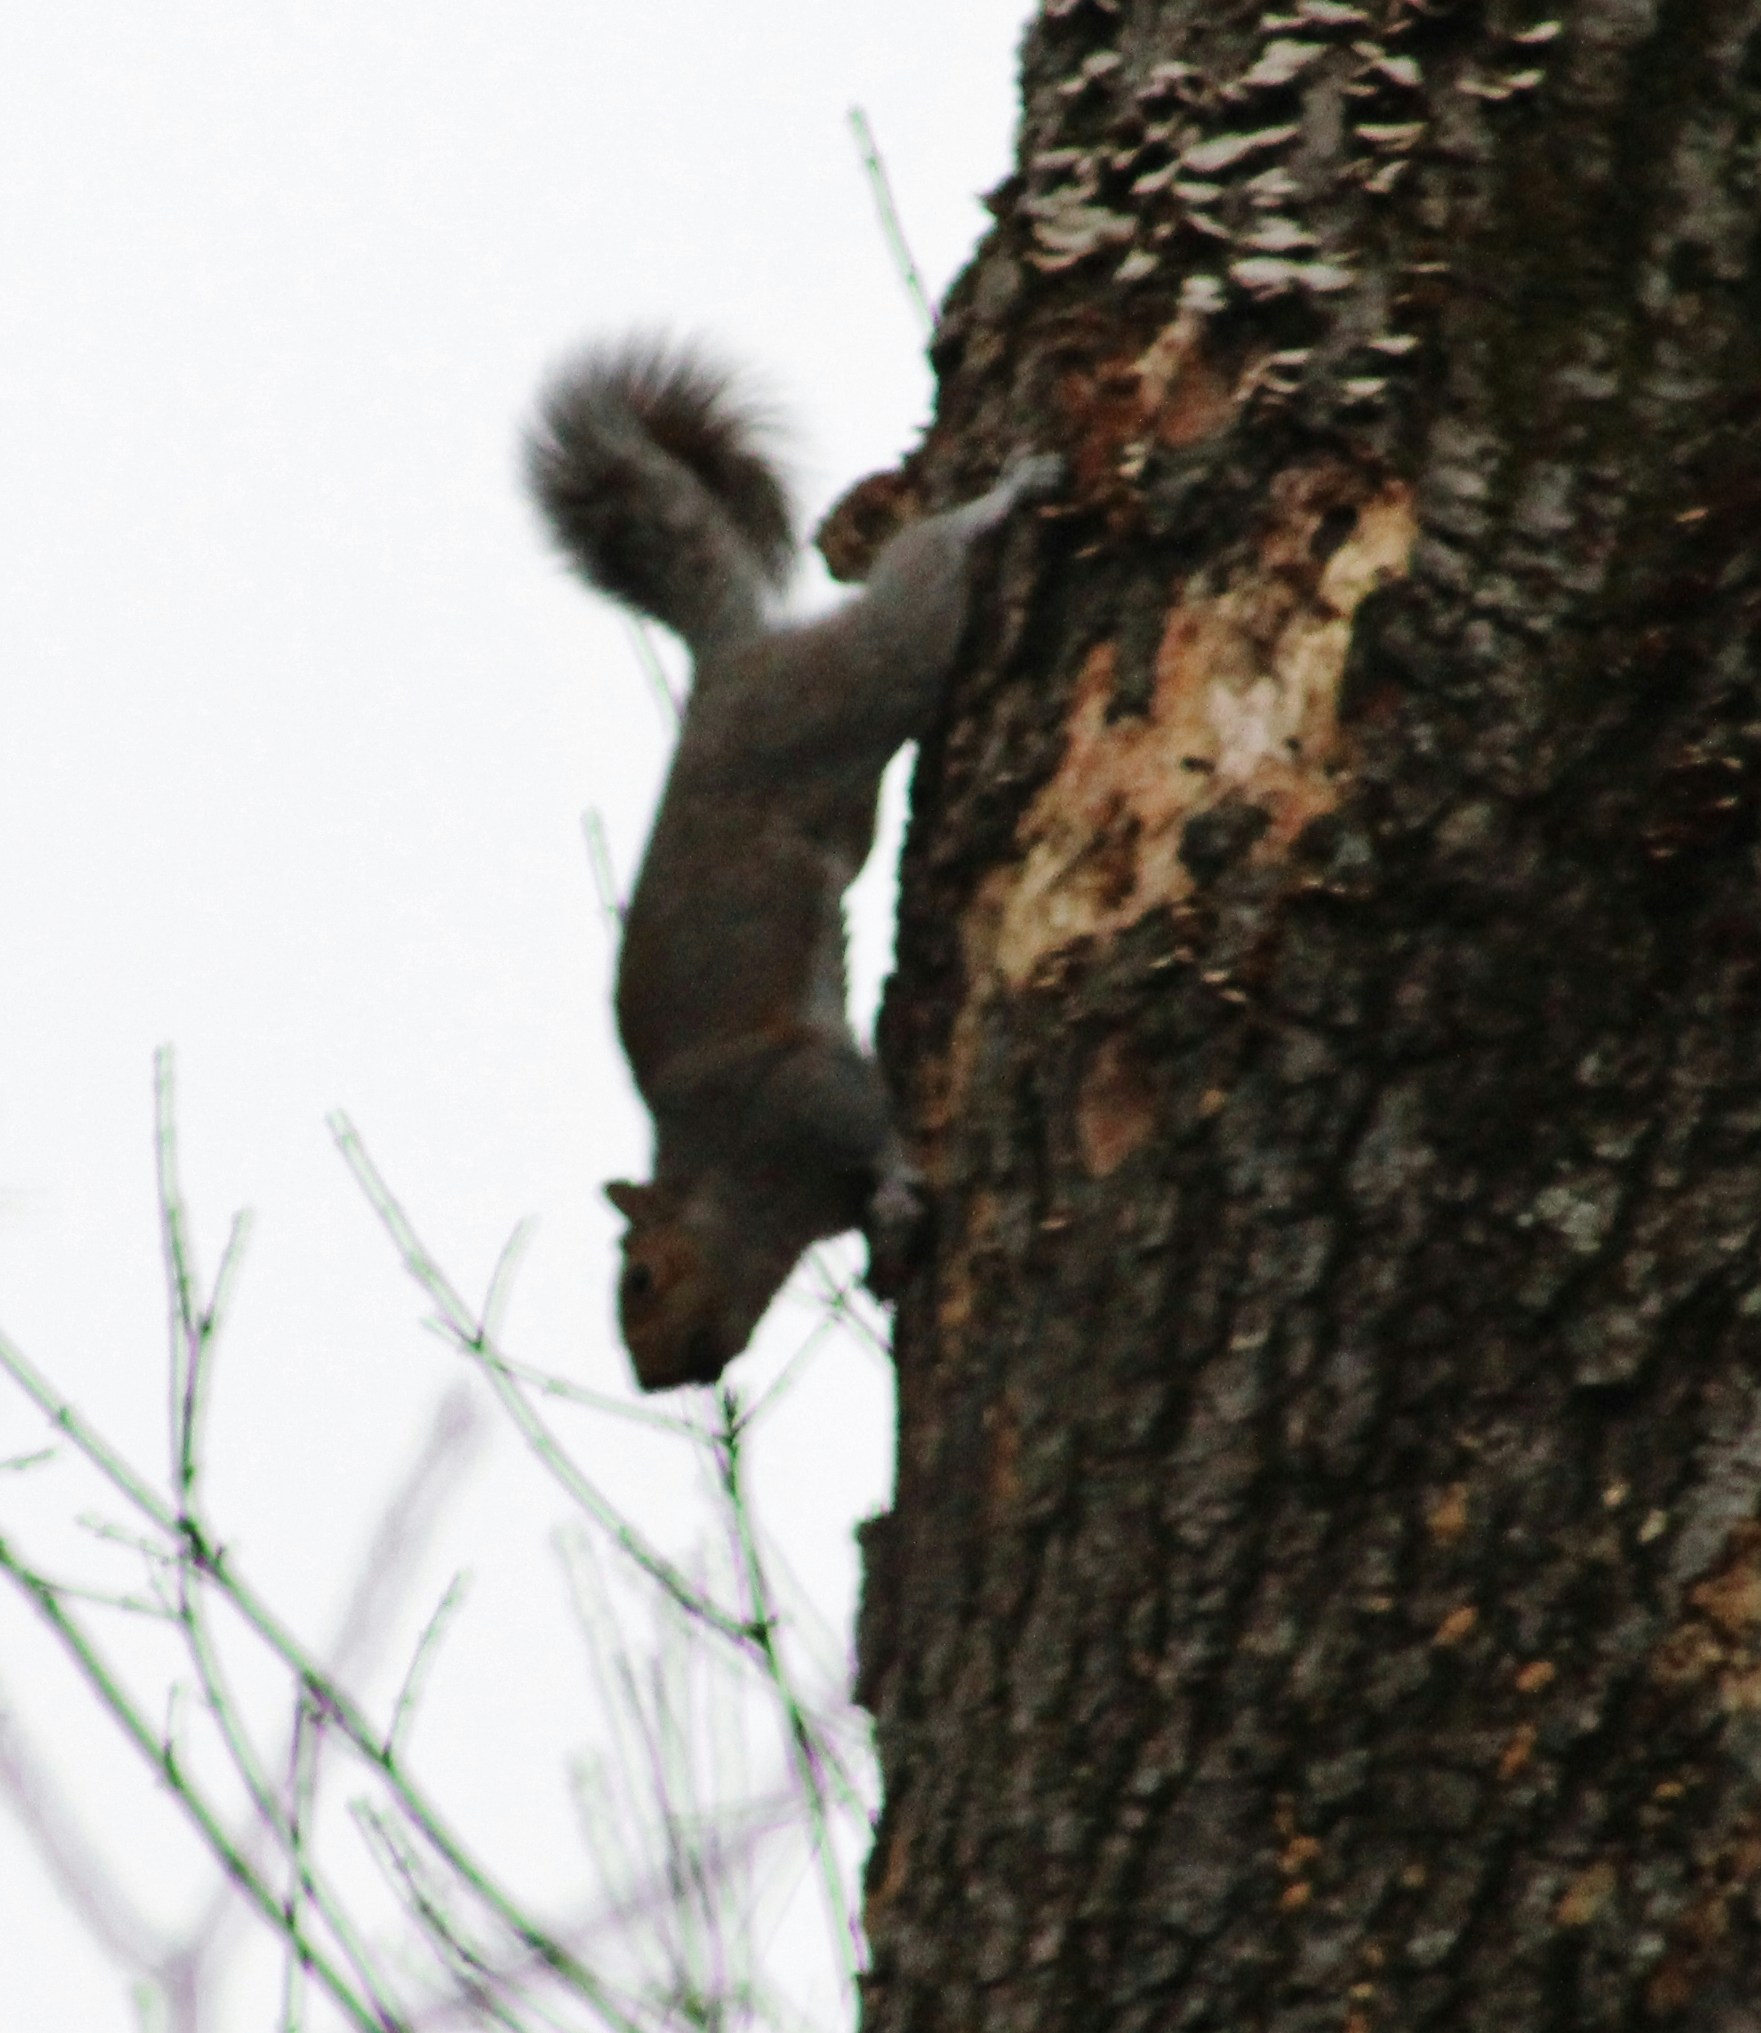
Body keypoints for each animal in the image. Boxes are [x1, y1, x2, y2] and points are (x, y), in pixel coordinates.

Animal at [525, 337, 1060, 1392]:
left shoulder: (791, 1091)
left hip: (857, 680)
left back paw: (1004, 496)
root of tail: (726, 669)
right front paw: (887, 1237)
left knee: (917, 583)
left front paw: (893, 1182)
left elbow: (868, 1117)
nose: (654, 1380)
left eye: (640, 1279)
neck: (734, 1181)